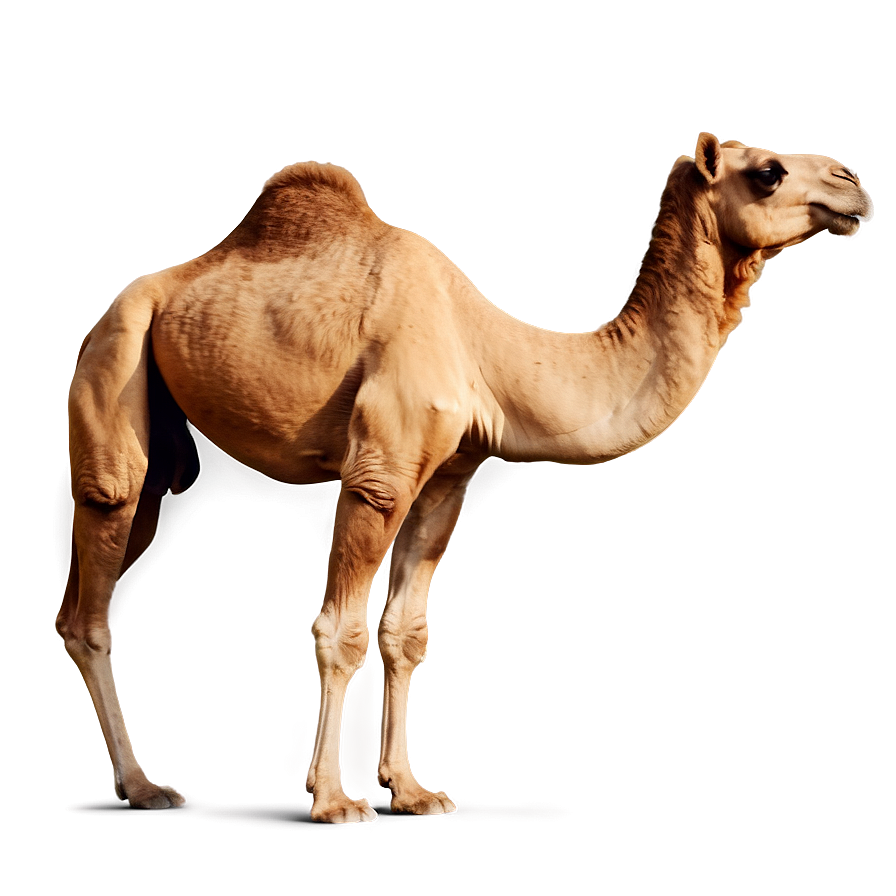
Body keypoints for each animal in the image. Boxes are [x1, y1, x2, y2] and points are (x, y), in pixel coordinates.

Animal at [57, 134, 871, 823]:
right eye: (767, 171)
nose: (854, 183)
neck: (489, 351)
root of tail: (98, 321)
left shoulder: (449, 480)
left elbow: (405, 632)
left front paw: (413, 792)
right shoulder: (379, 473)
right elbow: (342, 630)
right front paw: (333, 801)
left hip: (162, 448)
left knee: (101, 569)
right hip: (118, 358)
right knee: (101, 556)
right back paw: (143, 787)